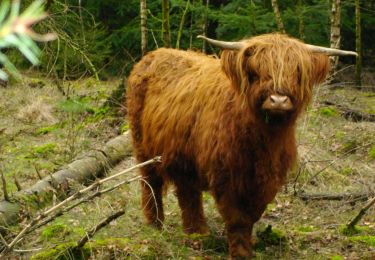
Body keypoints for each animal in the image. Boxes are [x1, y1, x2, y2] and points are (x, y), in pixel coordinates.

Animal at [127, 33, 358, 256]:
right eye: (256, 72)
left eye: (297, 73)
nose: (278, 100)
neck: (263, 141)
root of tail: (152, 55)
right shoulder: (225, 175)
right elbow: (237, 218)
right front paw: (240, 252)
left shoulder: (267, 180)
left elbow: (252, 214)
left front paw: (249, 243)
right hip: (143, 147)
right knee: (151, 183)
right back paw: (156, 224)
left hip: (185, 156)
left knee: (187, 192)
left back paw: (198, 234)